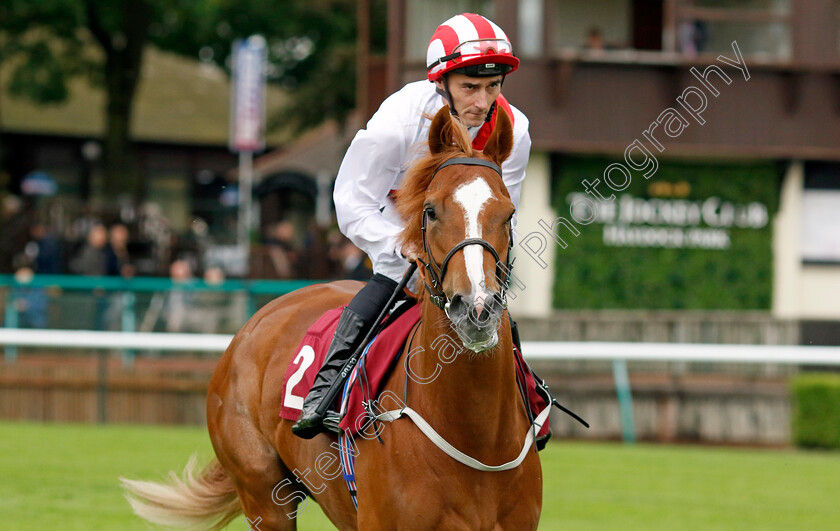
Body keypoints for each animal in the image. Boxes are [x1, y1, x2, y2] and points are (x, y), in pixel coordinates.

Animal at [124, 106, 544, 528]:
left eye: (508, 213)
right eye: (431, 210)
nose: (476, 308)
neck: (475, 436)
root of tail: (255, 322)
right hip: (263, 496)